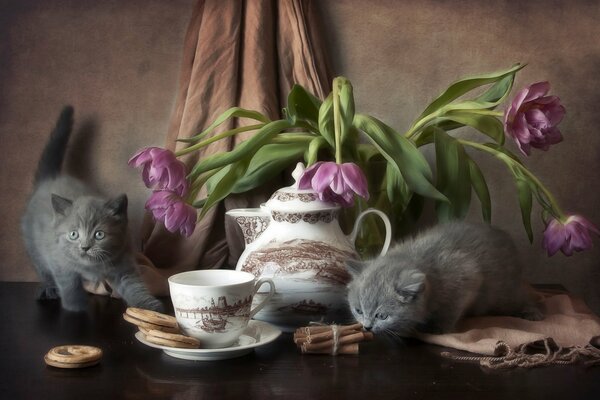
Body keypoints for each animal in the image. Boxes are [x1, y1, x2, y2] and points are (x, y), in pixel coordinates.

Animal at [20, 106, 162, 312]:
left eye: (99, 235)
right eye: (73, 234)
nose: (85, 247)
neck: (91, 267)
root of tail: (51, 178)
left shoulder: (124, 262)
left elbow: (134, 285)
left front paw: (150, 307)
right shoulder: (59, 261)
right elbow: (68, 283)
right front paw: (76, 306)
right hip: (33, 244)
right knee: (43, 269)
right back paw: (48, 288)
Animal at [344, 222, 540, 338]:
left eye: (382, 316)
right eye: (358, 311)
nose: (367, 327)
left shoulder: (467, 275)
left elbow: (452, 308)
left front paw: (439, 327)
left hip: (504, 294)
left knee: (528, 297)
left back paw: (534, 312)